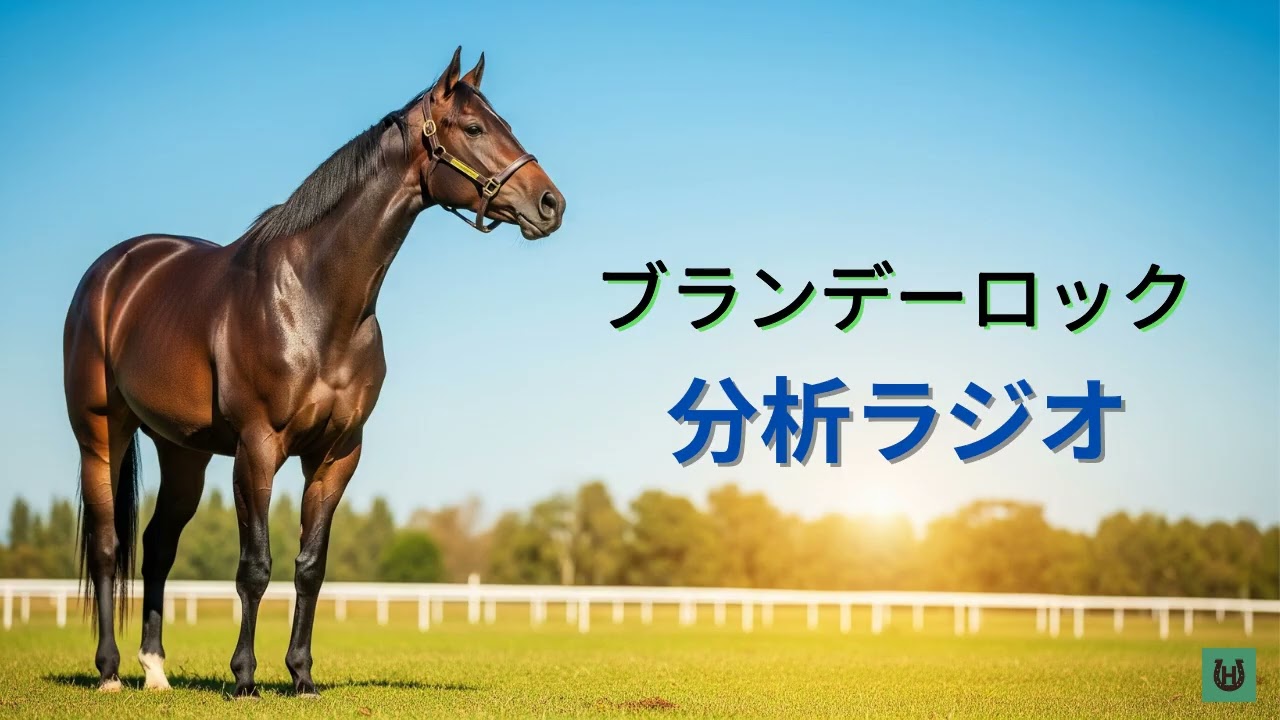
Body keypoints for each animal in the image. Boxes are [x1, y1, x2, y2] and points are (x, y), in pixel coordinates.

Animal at [62, 47, 564, 698]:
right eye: (475, 128)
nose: (550, 203)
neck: (315, 299)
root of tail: (113, 271)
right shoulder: (257, 448)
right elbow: (255, 568)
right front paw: (245, 678)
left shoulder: (337, 454)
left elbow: (310, 567)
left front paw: (301, 675)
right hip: (101, 435)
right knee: (107, 547)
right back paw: (109, 672)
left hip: (184, 453)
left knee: (157, 547)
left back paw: (155, 670)